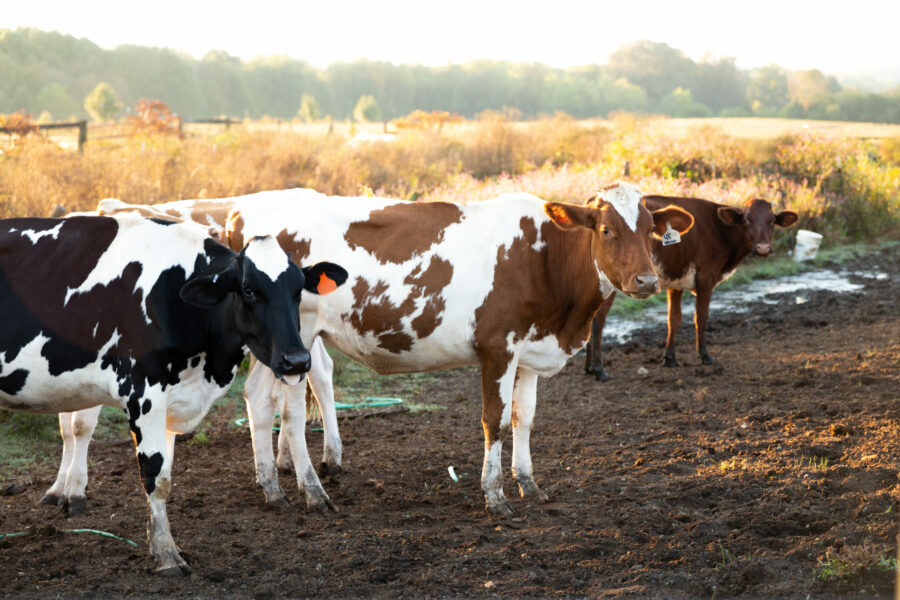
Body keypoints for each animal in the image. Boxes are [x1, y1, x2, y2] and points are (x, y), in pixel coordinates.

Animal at [0, 213, 346, 576]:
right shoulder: (143, 391)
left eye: (298, 291)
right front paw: (168, 555)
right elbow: (153, 475)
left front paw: (159, 544)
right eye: (249, 290)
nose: (297, 360)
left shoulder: (170, 399)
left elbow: (165, 475)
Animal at [584, 195, 800, 380]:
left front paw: (669, 358)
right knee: (598, 321)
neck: (719, 230)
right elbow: (701, 317)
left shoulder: (676, 282)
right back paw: (598, 368)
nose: (763, 248)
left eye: (772, 220)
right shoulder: (706, 279)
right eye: (747, 220)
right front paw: (705, 356)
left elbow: (674, 319)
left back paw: (588, 367)